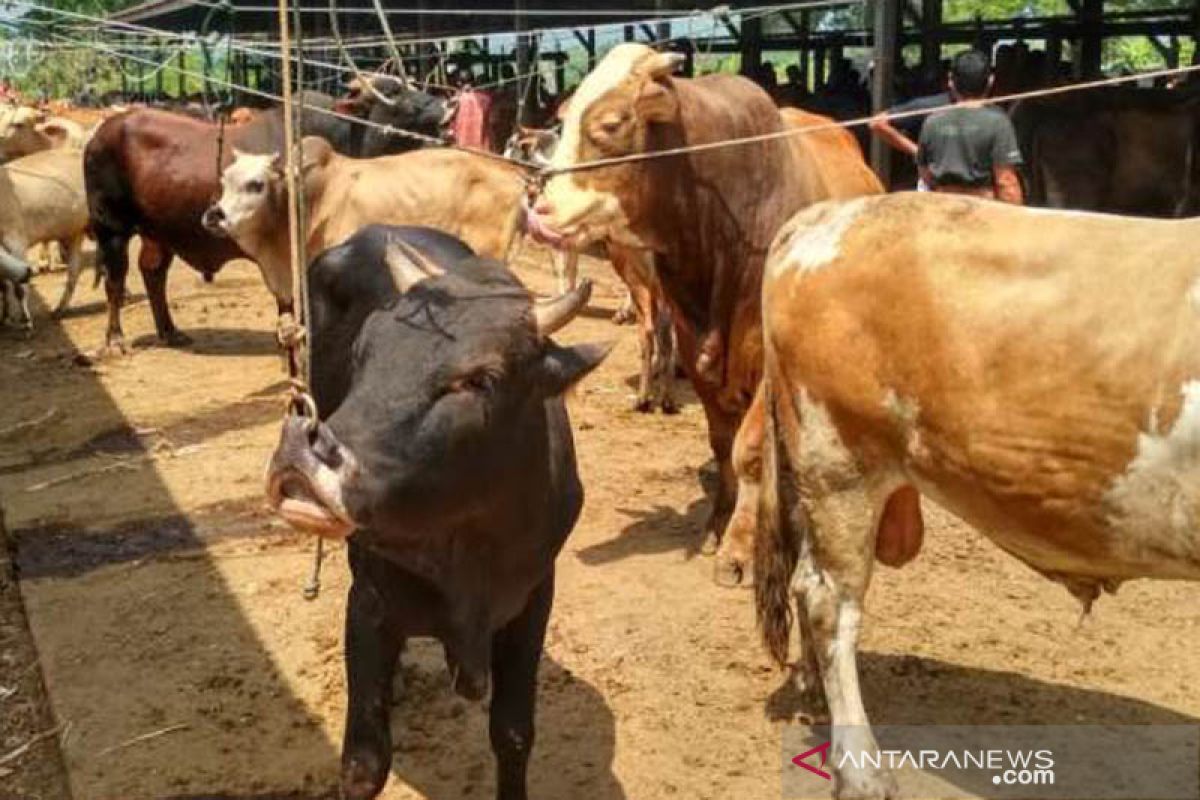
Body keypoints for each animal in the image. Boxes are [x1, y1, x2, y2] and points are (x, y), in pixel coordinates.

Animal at [268, 225, 614, 800]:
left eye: (481, 379)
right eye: (363, 351)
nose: (301, 448)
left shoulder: (533, 598)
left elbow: (514, 734)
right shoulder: (369, 605)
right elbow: (364, 763)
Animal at [530, 43, 888, 578]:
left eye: (611, 124)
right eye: (563, 117)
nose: (539, 212)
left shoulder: (766, 362)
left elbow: (750, 449)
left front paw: (740, 548)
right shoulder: (692, 345)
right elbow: (722, 444)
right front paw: (718, 522)